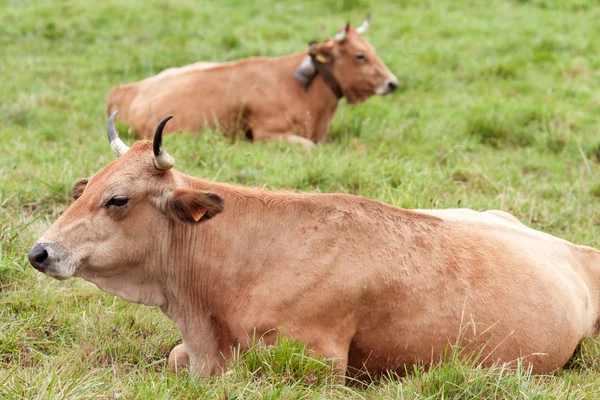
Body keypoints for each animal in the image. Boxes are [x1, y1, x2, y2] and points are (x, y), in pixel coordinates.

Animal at [106, 15, 398, 148]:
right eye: (360, 55)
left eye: (371, 49)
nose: (393, 83)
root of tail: (125, 90)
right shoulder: (266, 134)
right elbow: (311, 147)